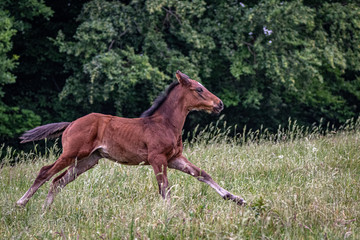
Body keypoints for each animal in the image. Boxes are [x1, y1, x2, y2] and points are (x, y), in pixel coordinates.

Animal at [18, 69, 246, 208]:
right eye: (199, 89)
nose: (220, 104)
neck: (165, 124)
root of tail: (71, 124)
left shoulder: (174, 158)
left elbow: (202, 174)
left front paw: (237, 198)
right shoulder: (157, 158)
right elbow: (164, 188)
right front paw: (170, 212)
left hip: (88, 160)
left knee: (58, 181)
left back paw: (45, 210)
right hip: (72, 153)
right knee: (45, 172)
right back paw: (20, 204)